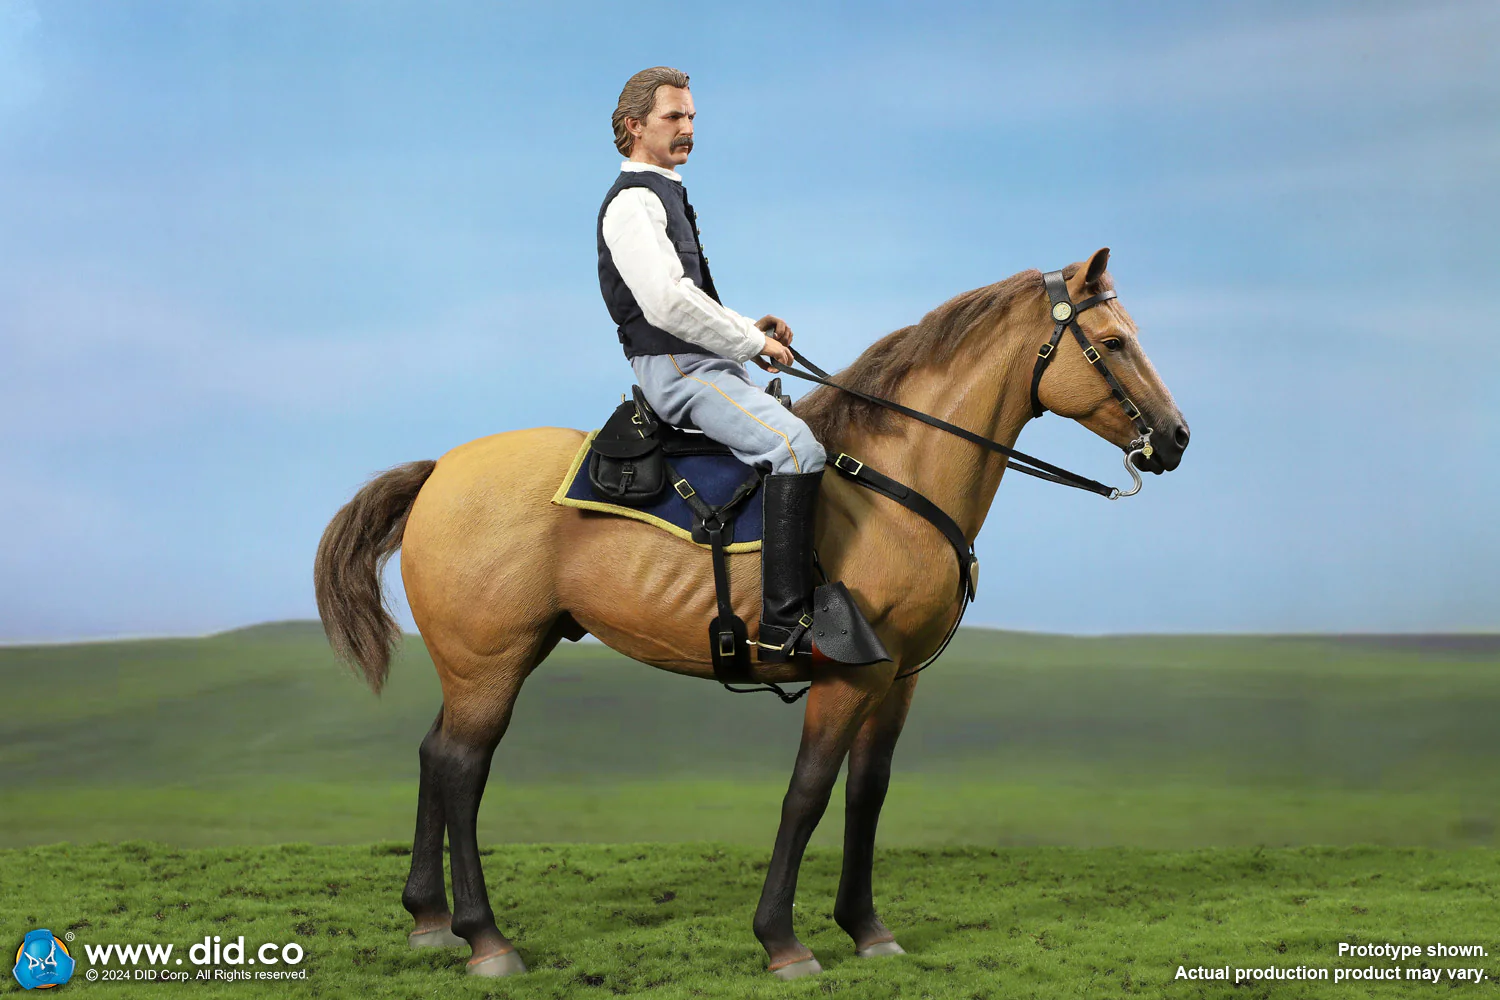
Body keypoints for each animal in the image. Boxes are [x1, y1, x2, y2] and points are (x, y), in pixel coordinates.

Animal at [313, 247, 1189, 979]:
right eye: (1113, 343)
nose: (1176, 438)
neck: (894, 478)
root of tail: (438, 472)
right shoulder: (845, 678)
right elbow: (807, 793)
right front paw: (783, 940)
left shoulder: (897, 678)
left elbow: (868, 793)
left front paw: (866, 929)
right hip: (492, 662)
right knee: (463, 768)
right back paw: (485, 939)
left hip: (477, 664)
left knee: (434, 756)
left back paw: (429, 920)